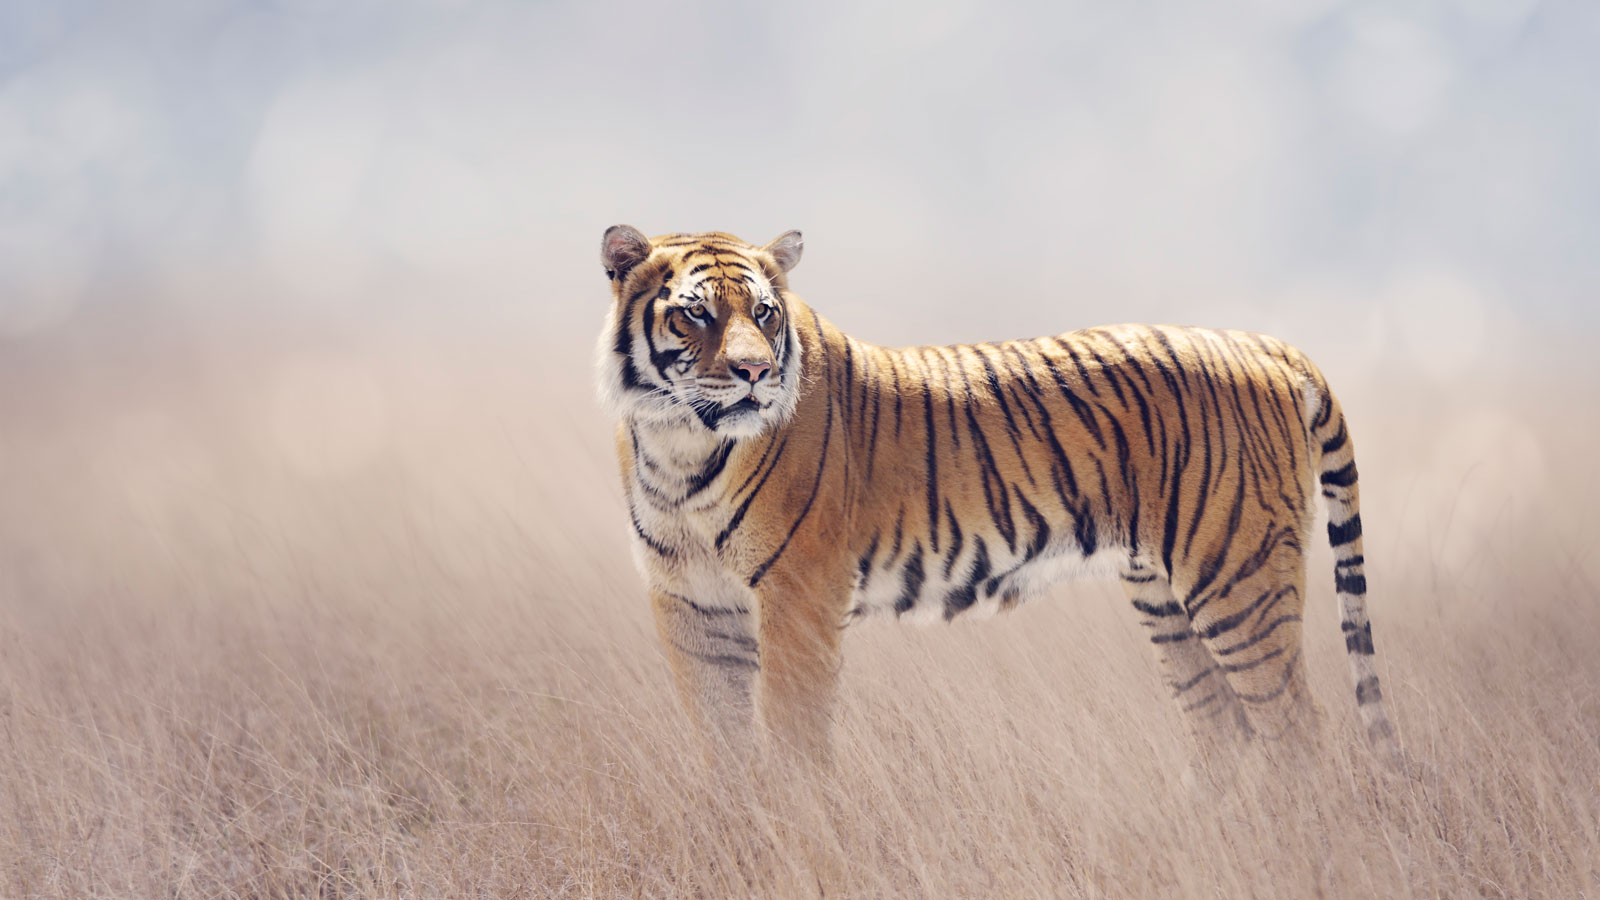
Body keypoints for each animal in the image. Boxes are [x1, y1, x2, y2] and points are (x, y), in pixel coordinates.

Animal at [595, 224, 1400, 771]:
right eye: (696, 314)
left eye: (764, 314)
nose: (756, 373)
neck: (678, 444)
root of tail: (1262, 343)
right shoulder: (691, 601)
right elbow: (721, 744)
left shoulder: (799, 595)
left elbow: (794, 741)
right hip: (1164, 589)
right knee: (1222, 723)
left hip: (1238, 578)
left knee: (1295, 728)